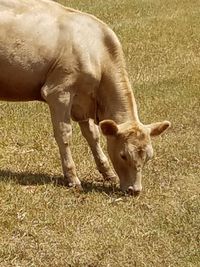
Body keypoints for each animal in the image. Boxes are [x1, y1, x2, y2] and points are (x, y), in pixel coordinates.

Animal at [0, 0, 170, 197]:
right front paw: (72, 178)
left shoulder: (84, 100)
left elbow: (93, 135)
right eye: (123, 155)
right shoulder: (59, 92)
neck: (97, 51)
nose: (134, 190)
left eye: (149, 157)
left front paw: (108, 173)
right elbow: (64, 134)